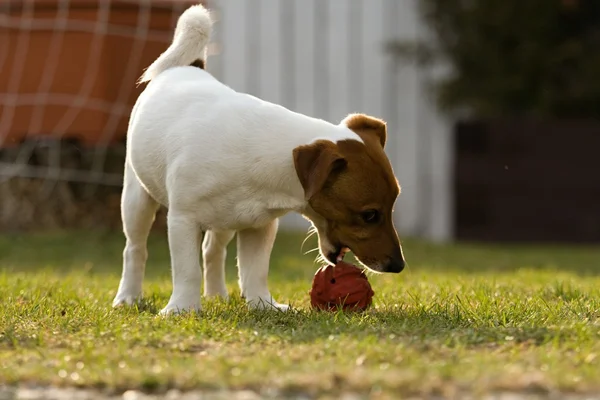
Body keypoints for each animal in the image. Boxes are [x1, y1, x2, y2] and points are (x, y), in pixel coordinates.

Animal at [110, 3, 406, 316]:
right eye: (369, 215)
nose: (398, 265)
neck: (264, 155)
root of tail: (189, 66)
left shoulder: (259, 225)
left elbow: (255, 270)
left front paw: (263, 305)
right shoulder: (182, 219)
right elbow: (187, 269)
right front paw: (182, 309)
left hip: (226, 220)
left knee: (213, 250)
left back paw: (217, 295)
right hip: (137, 198)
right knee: (135, 248)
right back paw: (127, 297)